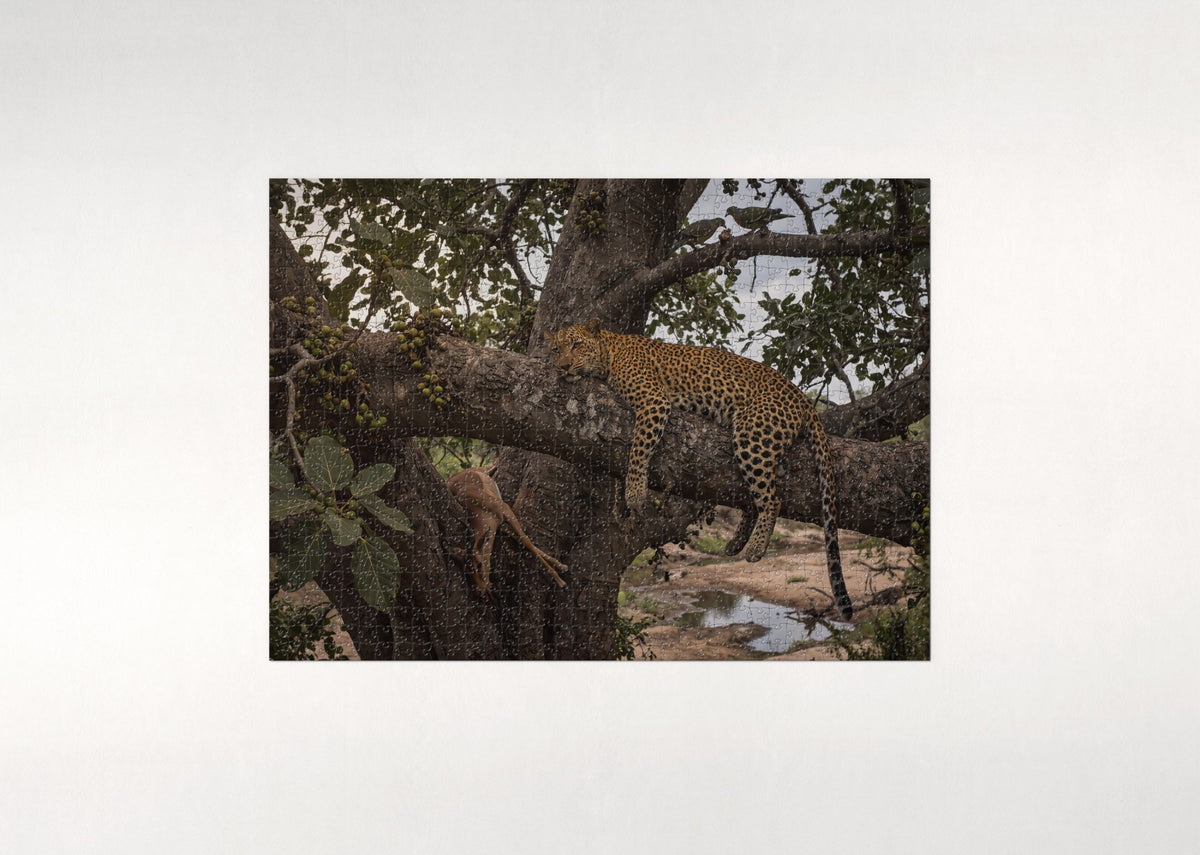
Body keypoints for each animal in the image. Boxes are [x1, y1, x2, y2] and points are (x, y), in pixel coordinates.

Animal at [545, 317, 852, 620]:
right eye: (556, 350)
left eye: (576, 345)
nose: (563, 366)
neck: (610, 351)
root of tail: (802, 398)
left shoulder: (653, 400)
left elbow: (638, 449)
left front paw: (634, 492)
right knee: (757, 495)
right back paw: (736, 542)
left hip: (752, 433)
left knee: (771, 499)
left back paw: (755, 547)